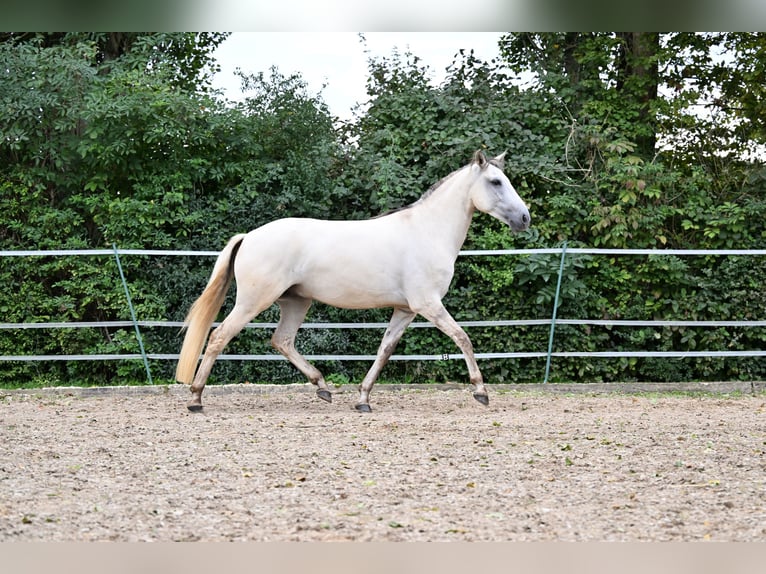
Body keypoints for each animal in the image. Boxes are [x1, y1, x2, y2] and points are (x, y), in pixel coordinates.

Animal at [177, 152, 532, 414]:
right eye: (496, 181)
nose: (524, 218)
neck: (427, 231)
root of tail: (249, 236)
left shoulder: (405, 310)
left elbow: (384, 351)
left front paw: (363, 400)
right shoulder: (428, 304)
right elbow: (464, 339)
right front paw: (481, 391)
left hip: (296, 302)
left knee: (282, 341)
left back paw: (322, 388)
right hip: (254, 301)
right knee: (219, 337)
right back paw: (195, 399)